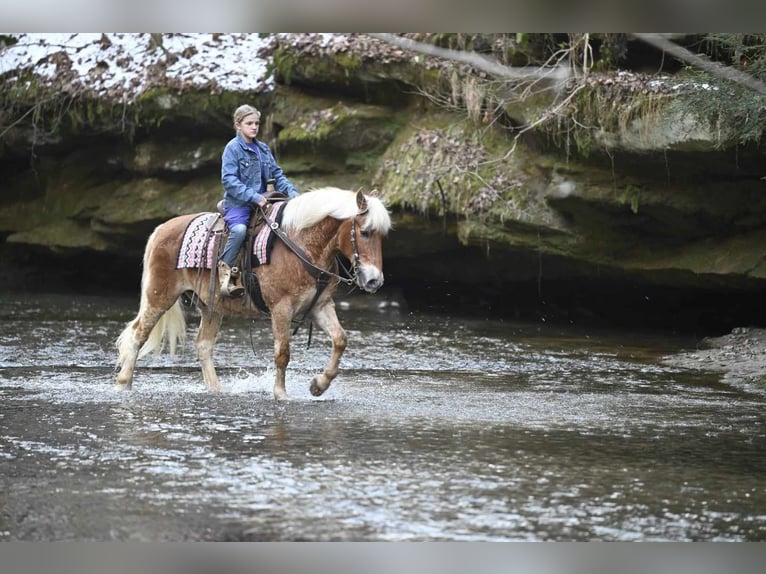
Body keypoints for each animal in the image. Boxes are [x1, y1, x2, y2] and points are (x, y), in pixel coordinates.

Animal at [117, 188, 392, 400]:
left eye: (382, 236)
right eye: (365, 232)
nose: (374, 280)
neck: (301, 244)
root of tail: (161, 228)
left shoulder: (320, 305)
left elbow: (340, 339)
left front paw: (318, 385)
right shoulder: (281, 308)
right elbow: (282, 353)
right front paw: (281, 394)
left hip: (211, 306)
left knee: (203, 345)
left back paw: (216, 390)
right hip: (159, 296)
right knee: (138, 334)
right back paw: (124, 383)